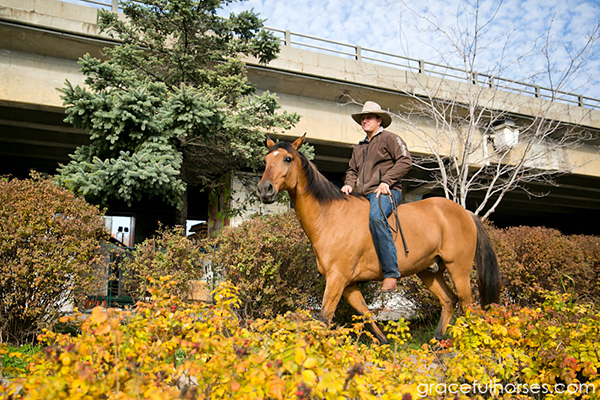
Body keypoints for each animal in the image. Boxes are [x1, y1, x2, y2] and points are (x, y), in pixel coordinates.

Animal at [255, 135, 500, 344]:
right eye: (266, 160)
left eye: (287, 159)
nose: (264, 189)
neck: (331, 217)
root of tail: (465, 213)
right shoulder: (348, 284)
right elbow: (366, 315)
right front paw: (383, 345)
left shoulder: (337, 279)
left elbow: (324, 319)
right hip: (429, 272)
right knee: (449, 300)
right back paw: (438, 341)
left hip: (459, 269)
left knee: (469, 305)